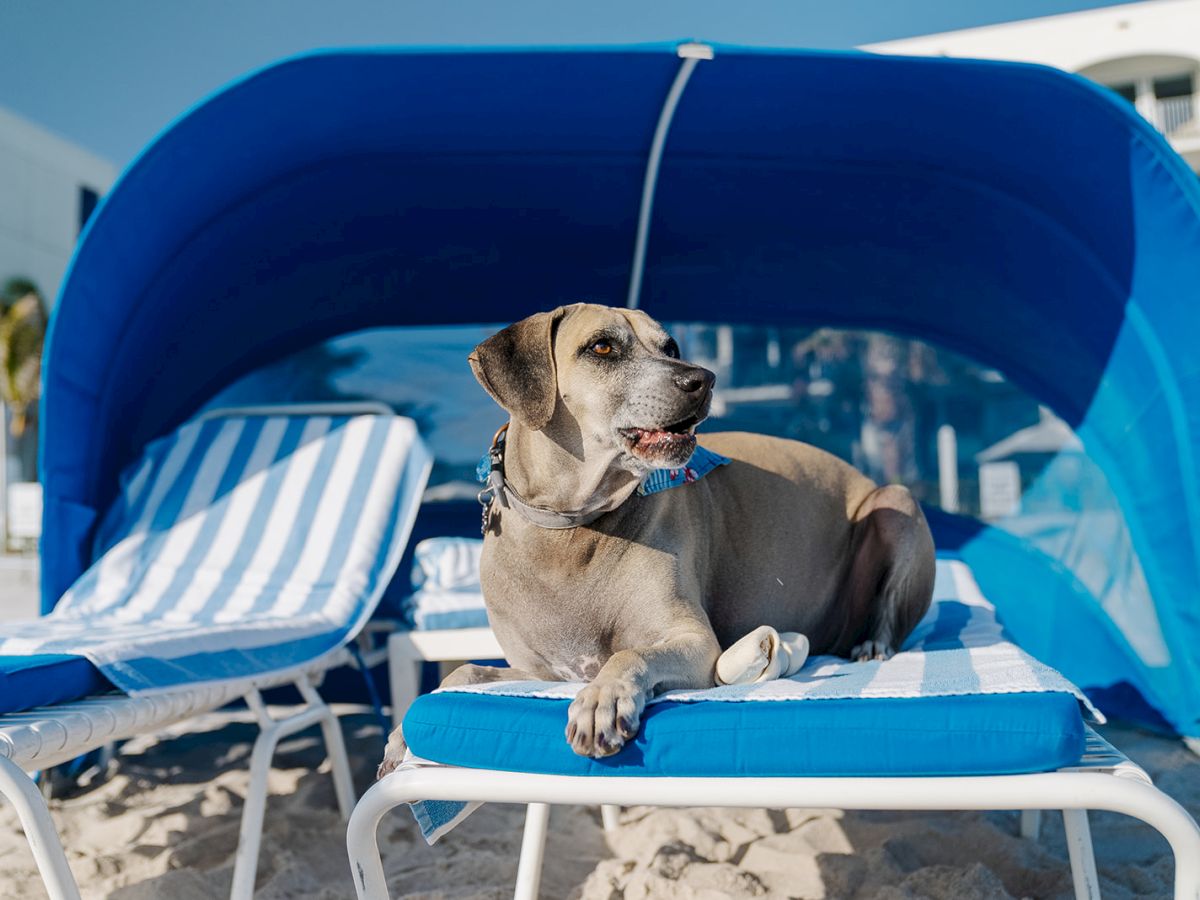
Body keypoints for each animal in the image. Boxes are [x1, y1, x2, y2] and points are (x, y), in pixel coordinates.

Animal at [379, 304, 931, 777]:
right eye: (602, 347)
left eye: (670, 346)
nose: (701, 379)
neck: (571, 529)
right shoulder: (540, 671)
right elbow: (461, 674)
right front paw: (400, 736)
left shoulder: (693, 641)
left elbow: (629, 655)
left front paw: (602, 701)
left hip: (896, 504)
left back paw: (873, 645)